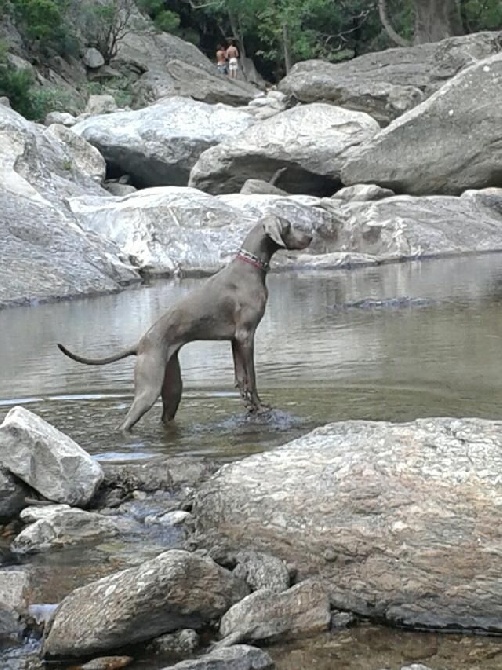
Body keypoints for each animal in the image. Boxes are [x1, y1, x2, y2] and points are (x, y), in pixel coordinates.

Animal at [57, 218, 310, 434]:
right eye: (289, 225)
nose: (310, 237)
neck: (249, 267)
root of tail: (140, 345)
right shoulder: (247, 335)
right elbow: (253, 377)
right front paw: (260, 406)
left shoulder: (235, 340)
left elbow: (241, 378)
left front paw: (250, 406)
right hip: (149, 388)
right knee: (126, 423)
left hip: (172, 390)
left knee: (165, 417)